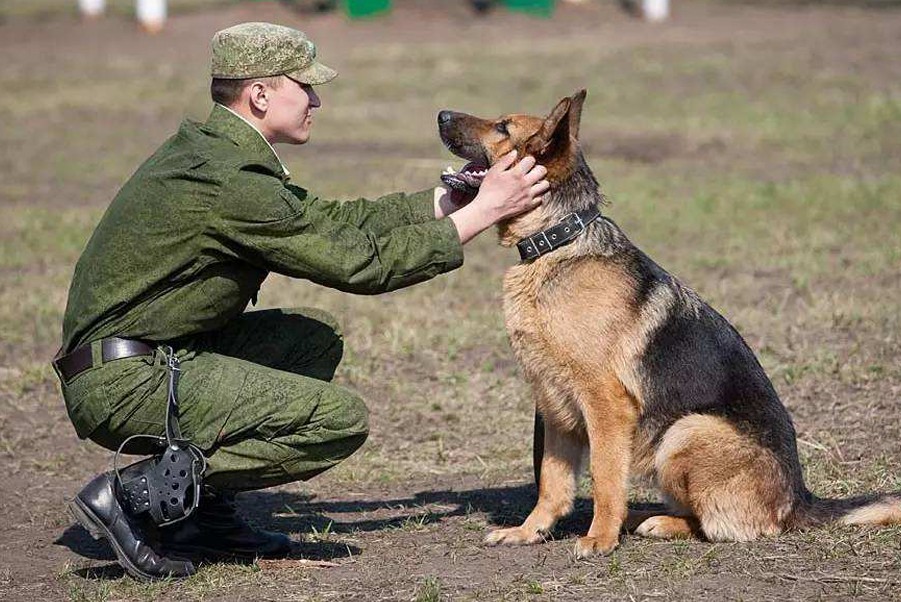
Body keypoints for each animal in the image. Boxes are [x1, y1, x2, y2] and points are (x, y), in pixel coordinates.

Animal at [434, 88, 892, 552]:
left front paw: (600, 537)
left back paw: (652, 522)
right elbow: (551, 481)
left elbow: (604, 476)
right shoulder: (553, 404)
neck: (558, 242)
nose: (441, 114)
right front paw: (530, 531)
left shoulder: (604, 404)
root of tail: (799, 499)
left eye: (503, 127)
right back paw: (641, 516)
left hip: (685, 432)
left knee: (723, 526)